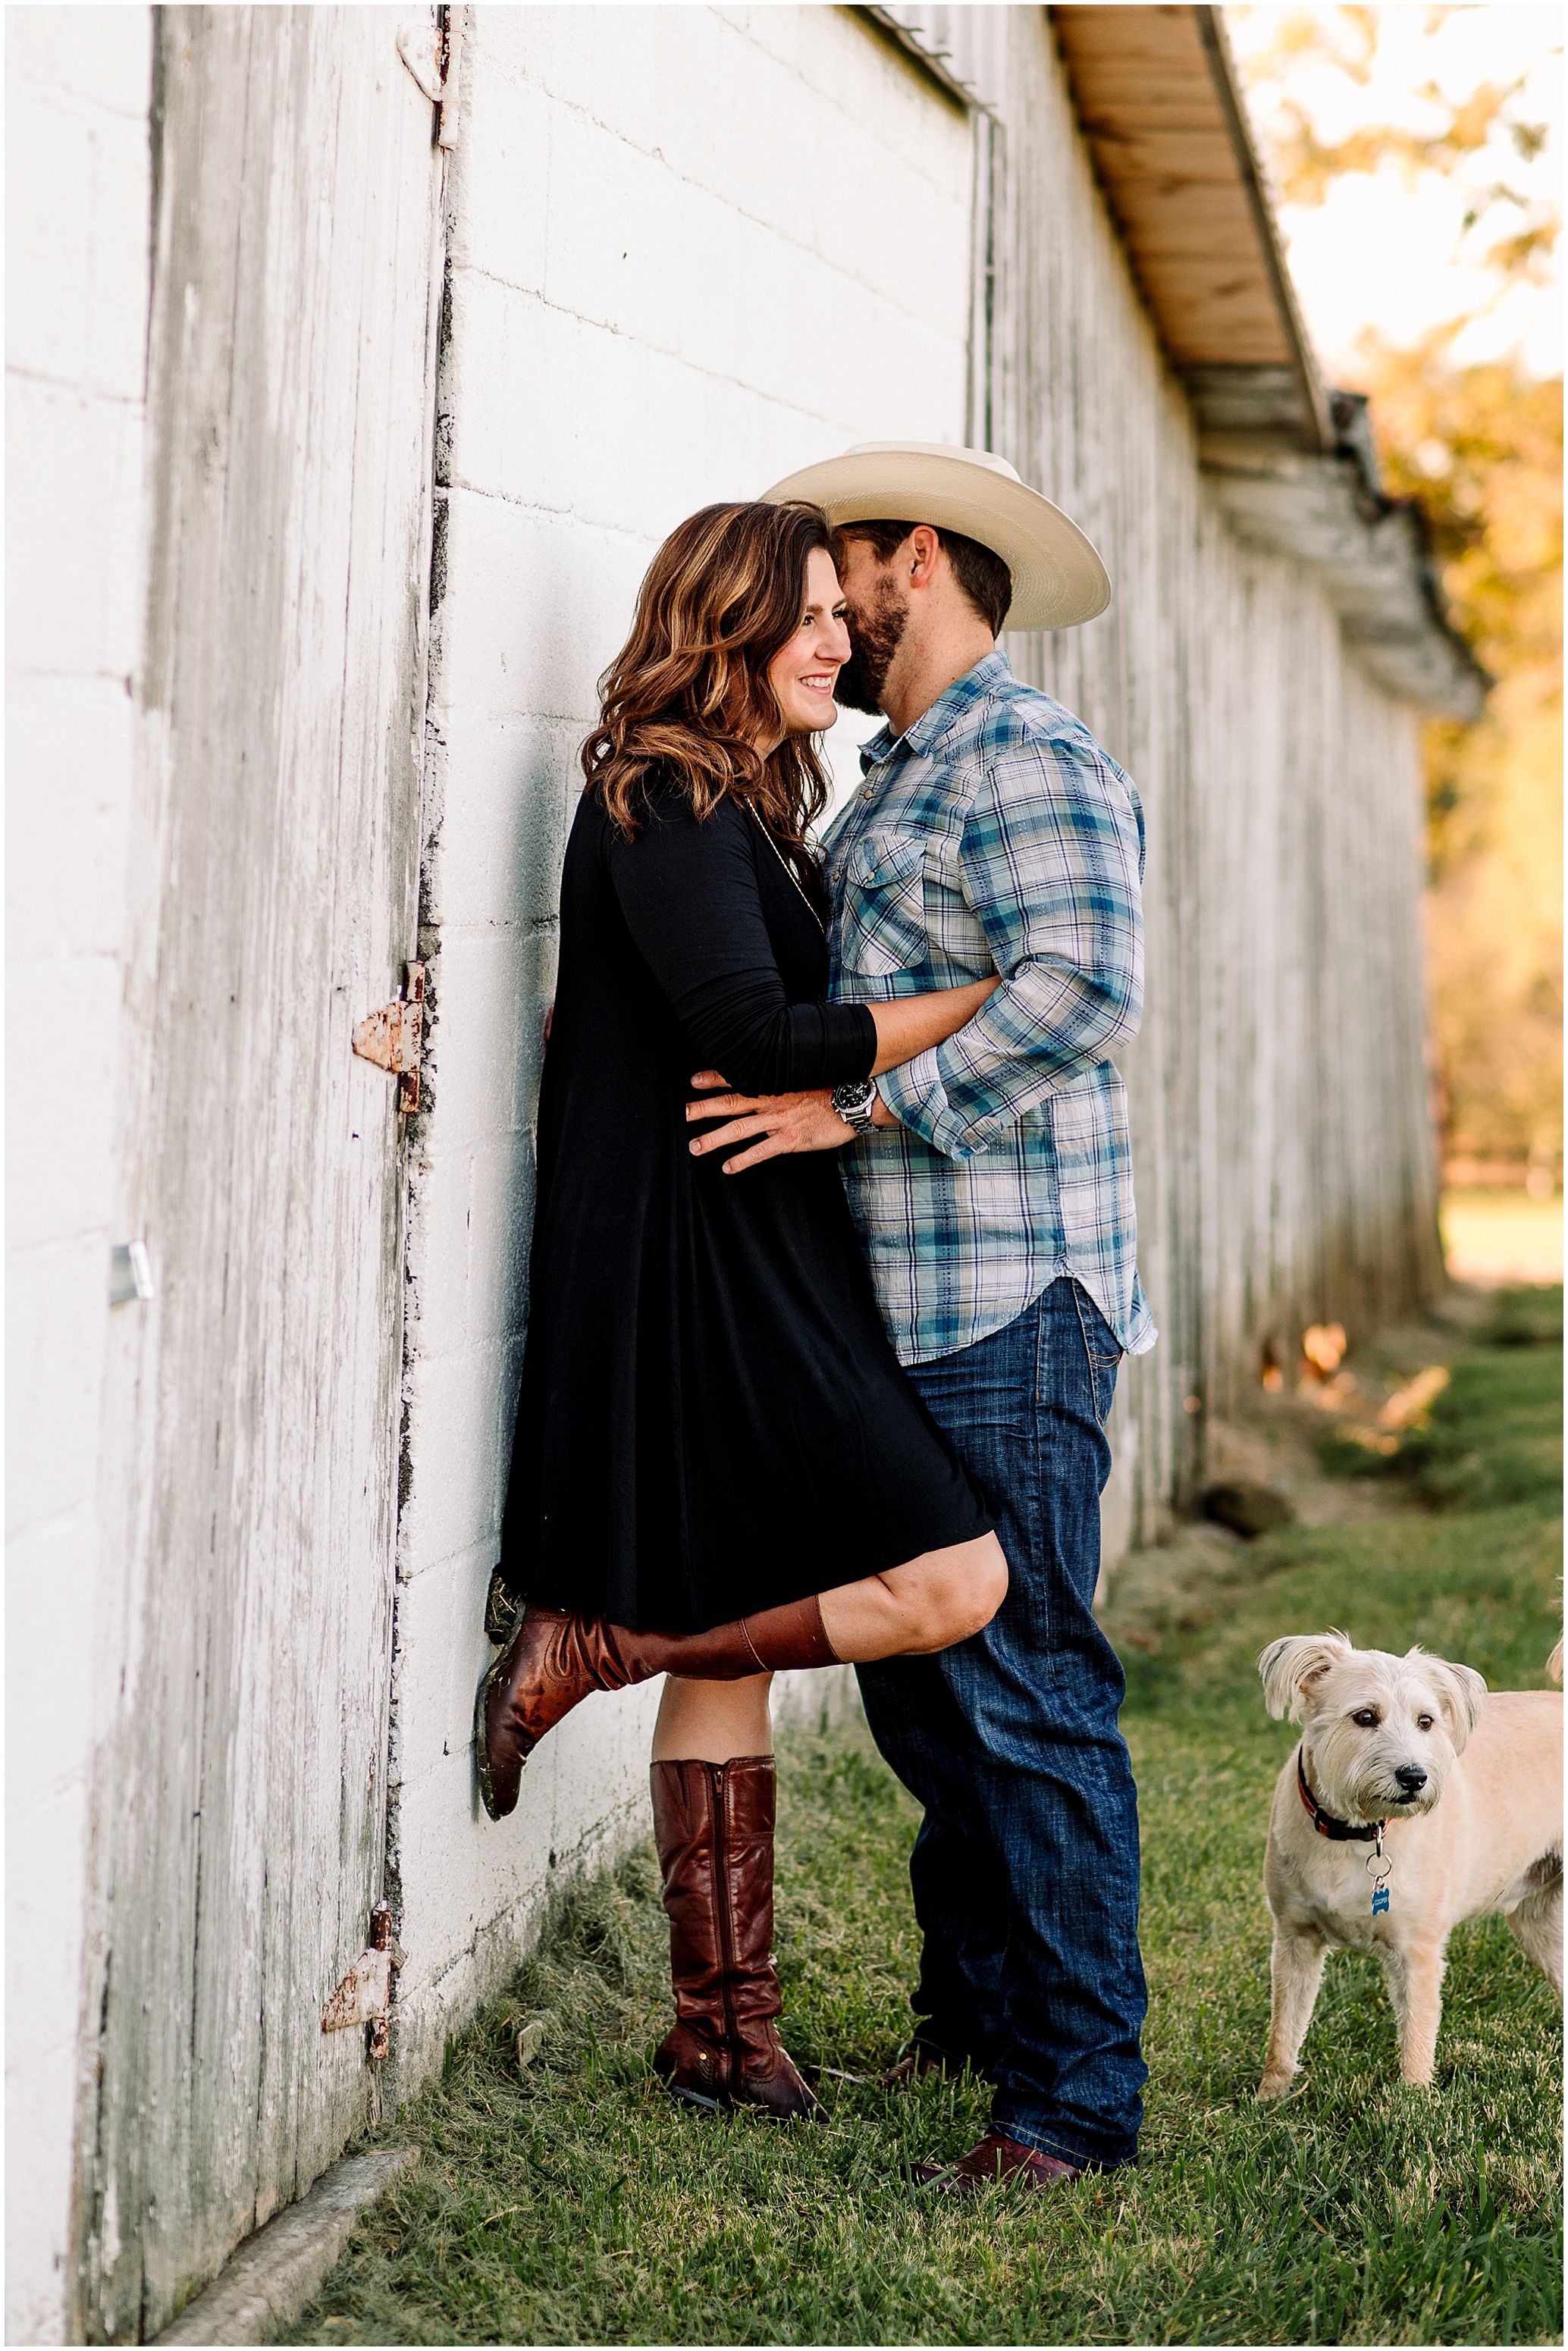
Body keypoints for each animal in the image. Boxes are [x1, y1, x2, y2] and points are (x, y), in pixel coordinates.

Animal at [1259, 1636, 1560, 2097]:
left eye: (1426, 1721)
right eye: (1365, 1716)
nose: (1415, 1777)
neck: (1357, 1832)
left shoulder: (1417, 1952)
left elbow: (1417, 2035)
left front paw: (1414, 2101)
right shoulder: (1295, 1938)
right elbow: (1284, 2030)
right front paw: (1269, 2097)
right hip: (1541, 1925)